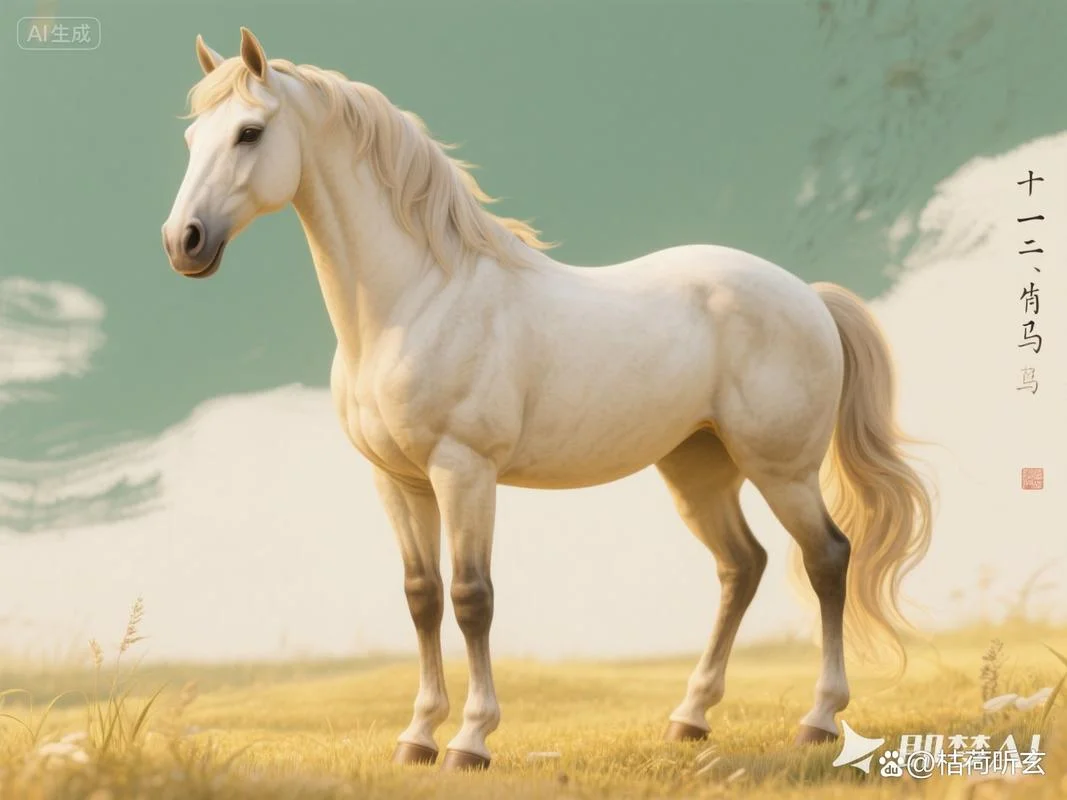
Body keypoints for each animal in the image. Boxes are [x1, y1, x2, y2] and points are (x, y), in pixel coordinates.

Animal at [162, 28, 934, 772]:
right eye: (193, 139)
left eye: (250, 133)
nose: (182, 242)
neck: (418, 300)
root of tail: (808, 295)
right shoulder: (397, 481)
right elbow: (422, 597)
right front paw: (417, 736)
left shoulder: (463, 472)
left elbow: (472, 598)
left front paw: (470, 741)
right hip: (698, 470)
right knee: (741, 567)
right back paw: (689, 719)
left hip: (783, 471)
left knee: (827, 558)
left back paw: (817, 720)